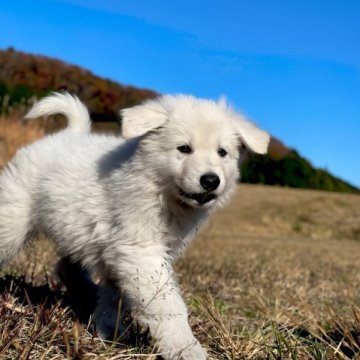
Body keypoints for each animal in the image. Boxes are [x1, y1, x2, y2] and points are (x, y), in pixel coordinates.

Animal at [0, 93, 268, 360]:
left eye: (222, 152)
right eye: (183, 148)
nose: (211, 180)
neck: (161, 191)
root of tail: (68, 134)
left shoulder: (128, 254)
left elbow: (114, 295)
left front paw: (109, 330)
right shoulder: (141, 251)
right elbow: (167, 305)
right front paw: (186, 348)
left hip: (74, 228)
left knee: (67, 267)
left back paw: (86, 291)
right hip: (13, 218)